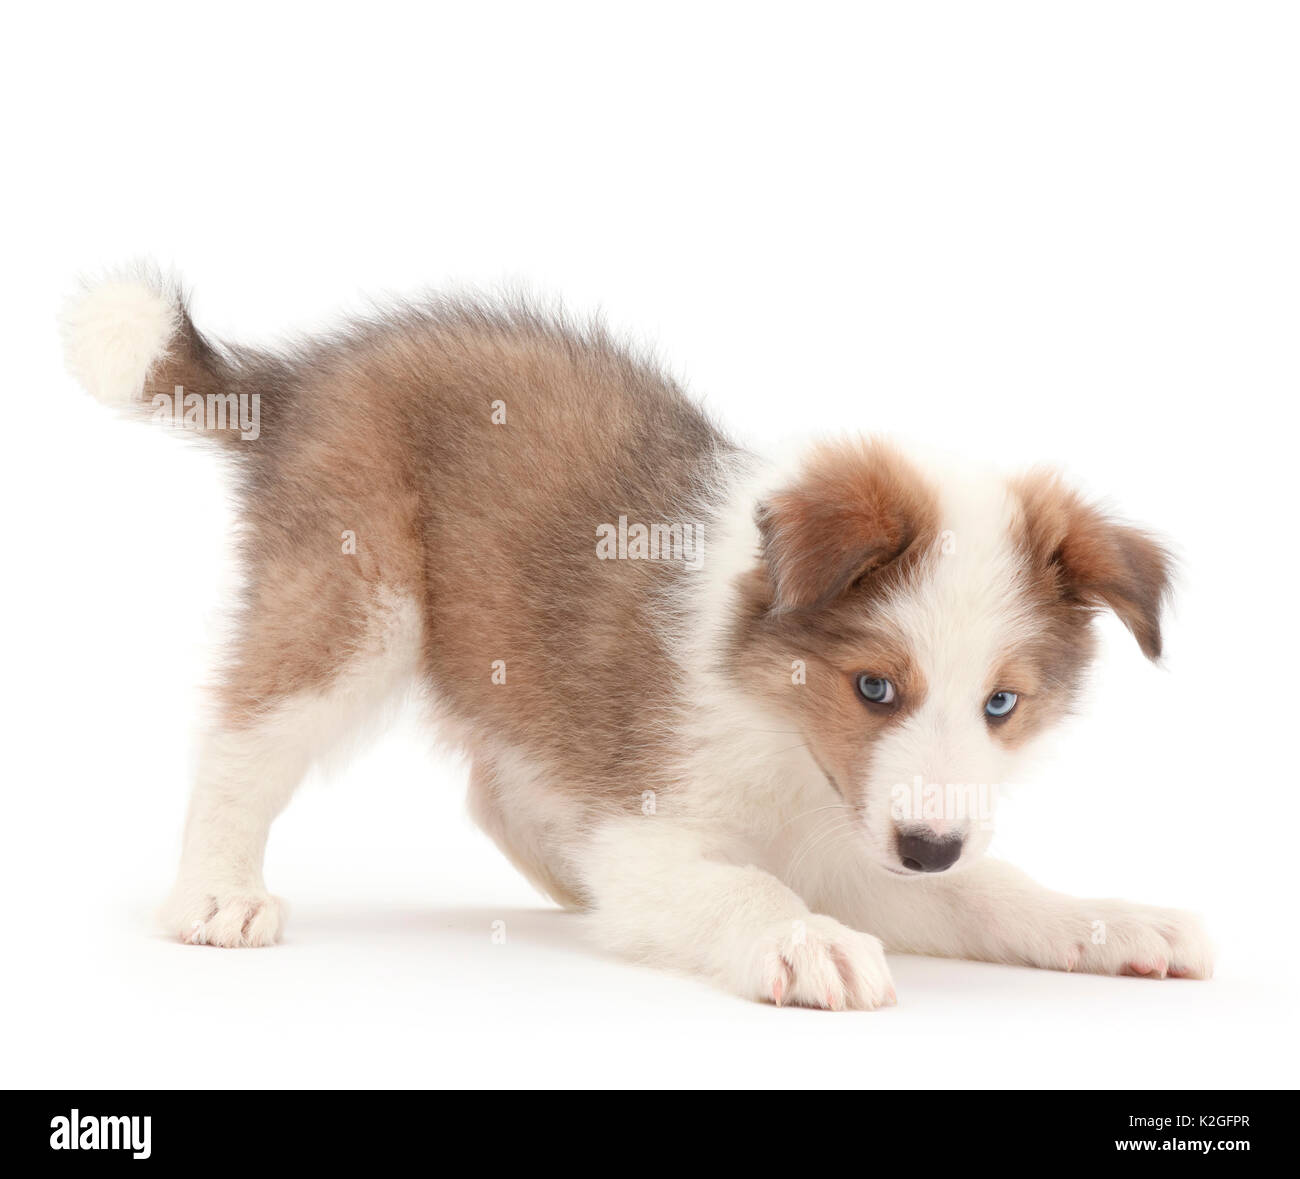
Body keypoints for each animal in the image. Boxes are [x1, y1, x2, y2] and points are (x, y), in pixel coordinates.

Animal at [65, 271, 1211, 1008]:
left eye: (1002, 703)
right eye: (874, 688)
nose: (927, 846)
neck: (783, 731)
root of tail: (303, 376)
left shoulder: (860, 840)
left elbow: (991, 889)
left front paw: (1112, 922)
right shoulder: (666, 822)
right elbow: (744, 884)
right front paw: (804, 939)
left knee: (499, 789)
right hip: (357, 598)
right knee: (246, 738)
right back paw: (217, 894)